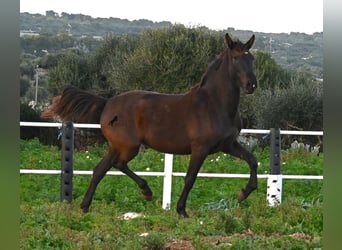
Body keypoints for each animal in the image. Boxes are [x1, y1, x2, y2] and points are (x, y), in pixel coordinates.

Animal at [42, 33, 256, 217]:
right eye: (235, 58)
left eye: (252, 58)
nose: (251, 85)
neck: (214, 104)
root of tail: (107, 104)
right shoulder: (200, 148)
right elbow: (190, 178)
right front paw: (181, 211)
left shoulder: (227, 145)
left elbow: (252, 160)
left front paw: (243, 193)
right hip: (128, 146)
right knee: (117, 164)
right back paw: (146, 192)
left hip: (117, 146)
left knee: (100, 170)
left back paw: (86, 206)